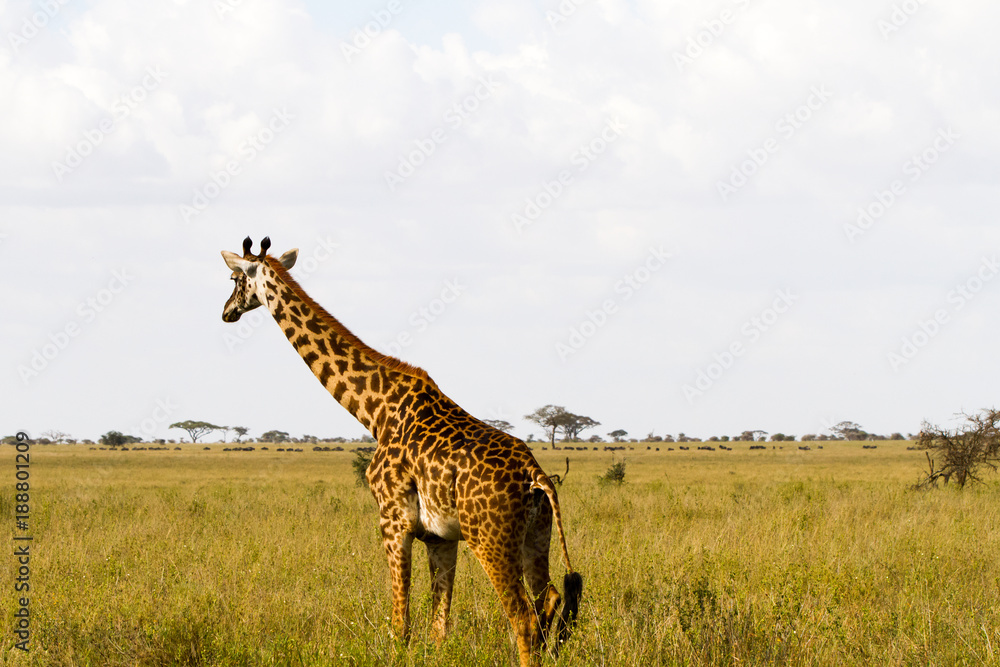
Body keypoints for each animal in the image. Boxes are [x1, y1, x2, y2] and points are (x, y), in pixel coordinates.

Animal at [220, 237, 582, 666]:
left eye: (234, 278)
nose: (226, 312)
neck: (375, 411)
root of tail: (535, 475)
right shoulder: (441, 537)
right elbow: (440, 626)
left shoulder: (392, 520)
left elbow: (401, 625)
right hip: (536, 534)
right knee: (550, 600)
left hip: (490, 538)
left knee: (523, 618)